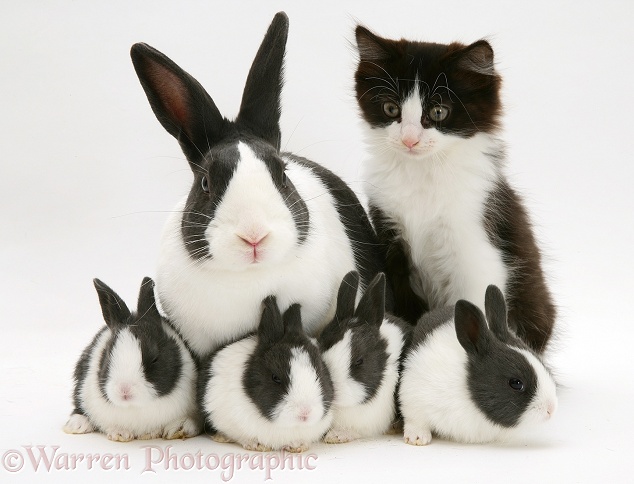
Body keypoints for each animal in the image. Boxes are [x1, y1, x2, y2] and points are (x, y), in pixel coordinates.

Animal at [356, 25, 552, 352]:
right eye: (390, 108)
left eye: (438, 112)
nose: (409, 139)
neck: (422, 172)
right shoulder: (390, 237)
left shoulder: (478, 247)